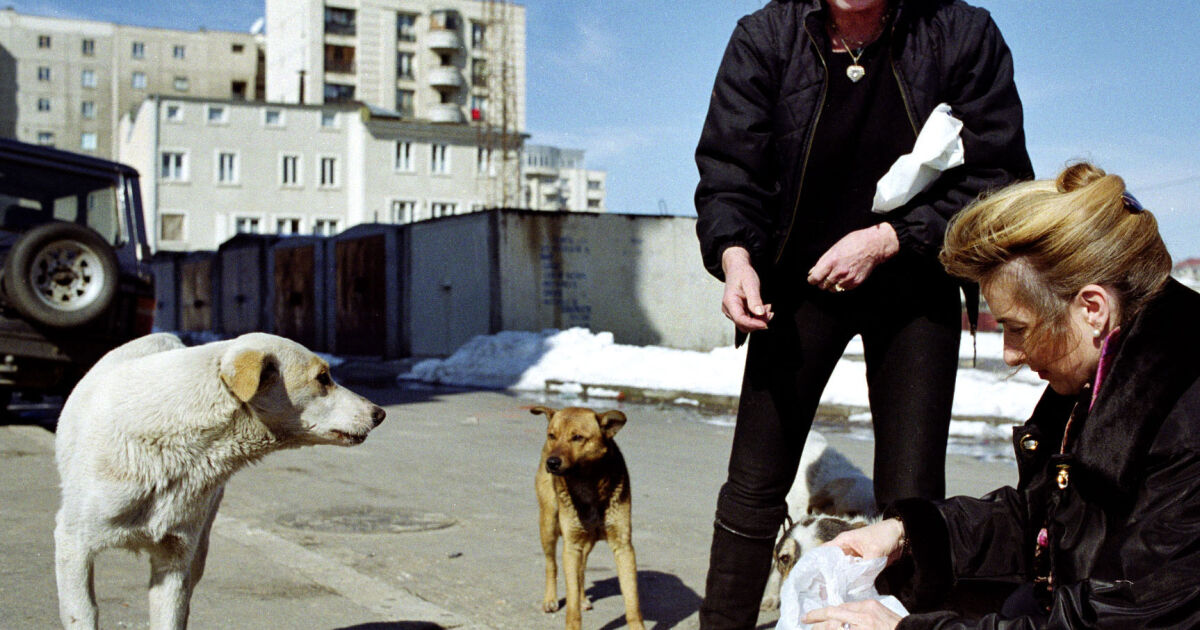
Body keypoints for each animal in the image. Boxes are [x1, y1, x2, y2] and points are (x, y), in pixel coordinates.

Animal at [54, 332, 385, 630]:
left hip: (199, 547)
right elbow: (83, 612)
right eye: (322, 378)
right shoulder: (73, 544)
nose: (379, 413)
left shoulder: (175, 559)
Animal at [532, 405, 645, 630]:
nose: (552, 463)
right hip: (549, 524)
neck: (589, 485)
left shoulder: (623, 546)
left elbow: (632, 600)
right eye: (552, 435)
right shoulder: (571, 545)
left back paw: (583, 597)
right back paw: (550, 599)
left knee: (582, 569)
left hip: (586, 540)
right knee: (552, 564)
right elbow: (571, 602)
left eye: (577, 437)